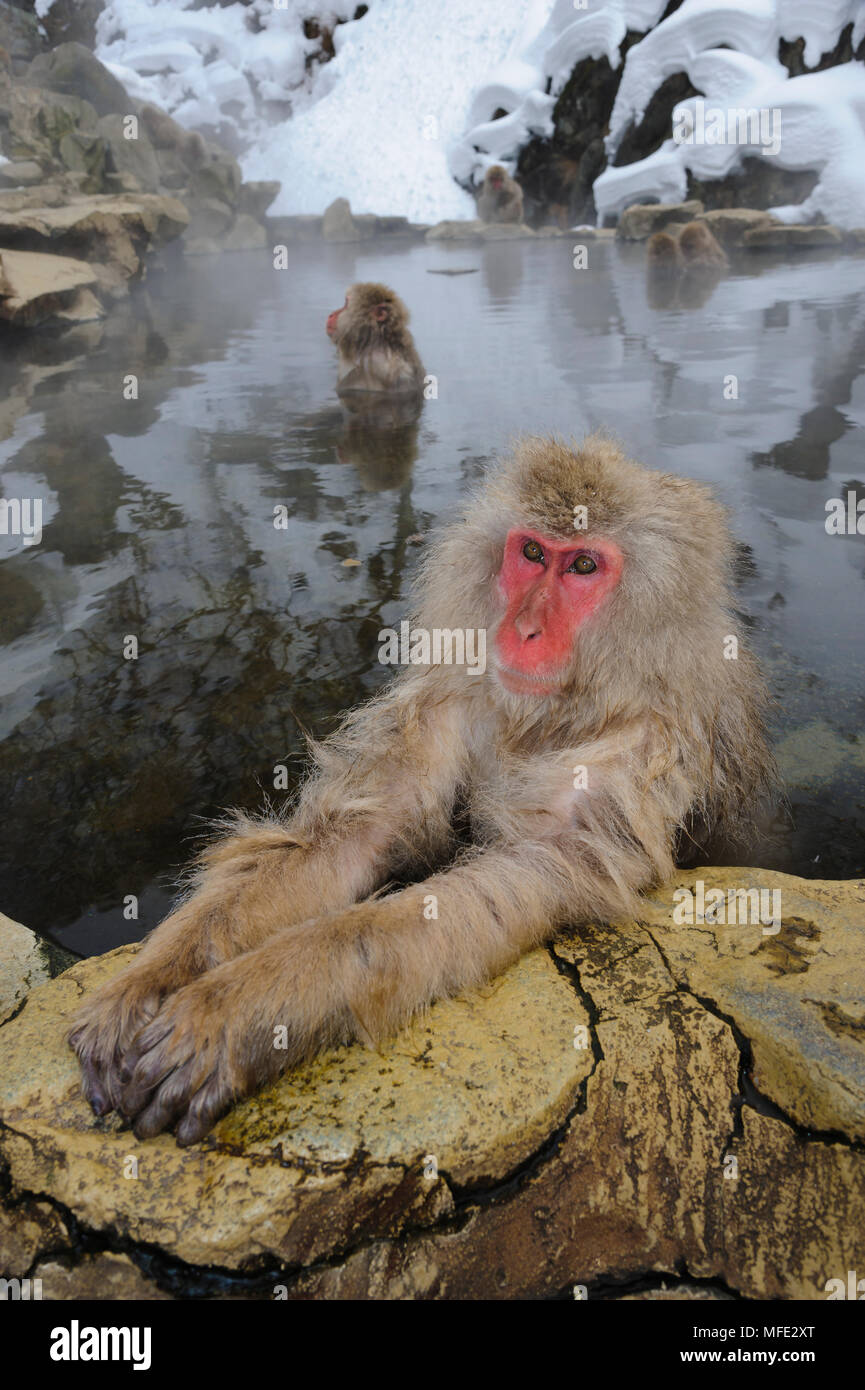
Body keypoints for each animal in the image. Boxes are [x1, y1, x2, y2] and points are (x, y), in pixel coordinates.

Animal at [69, 434, 777, 1146]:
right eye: (530, 554)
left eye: (582, 565)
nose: (524, 629)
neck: (559, 712)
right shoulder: (458, 695)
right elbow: (363, 830)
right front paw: (151, 979)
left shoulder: (639, 761)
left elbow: (524, 877)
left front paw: (244, 1004)